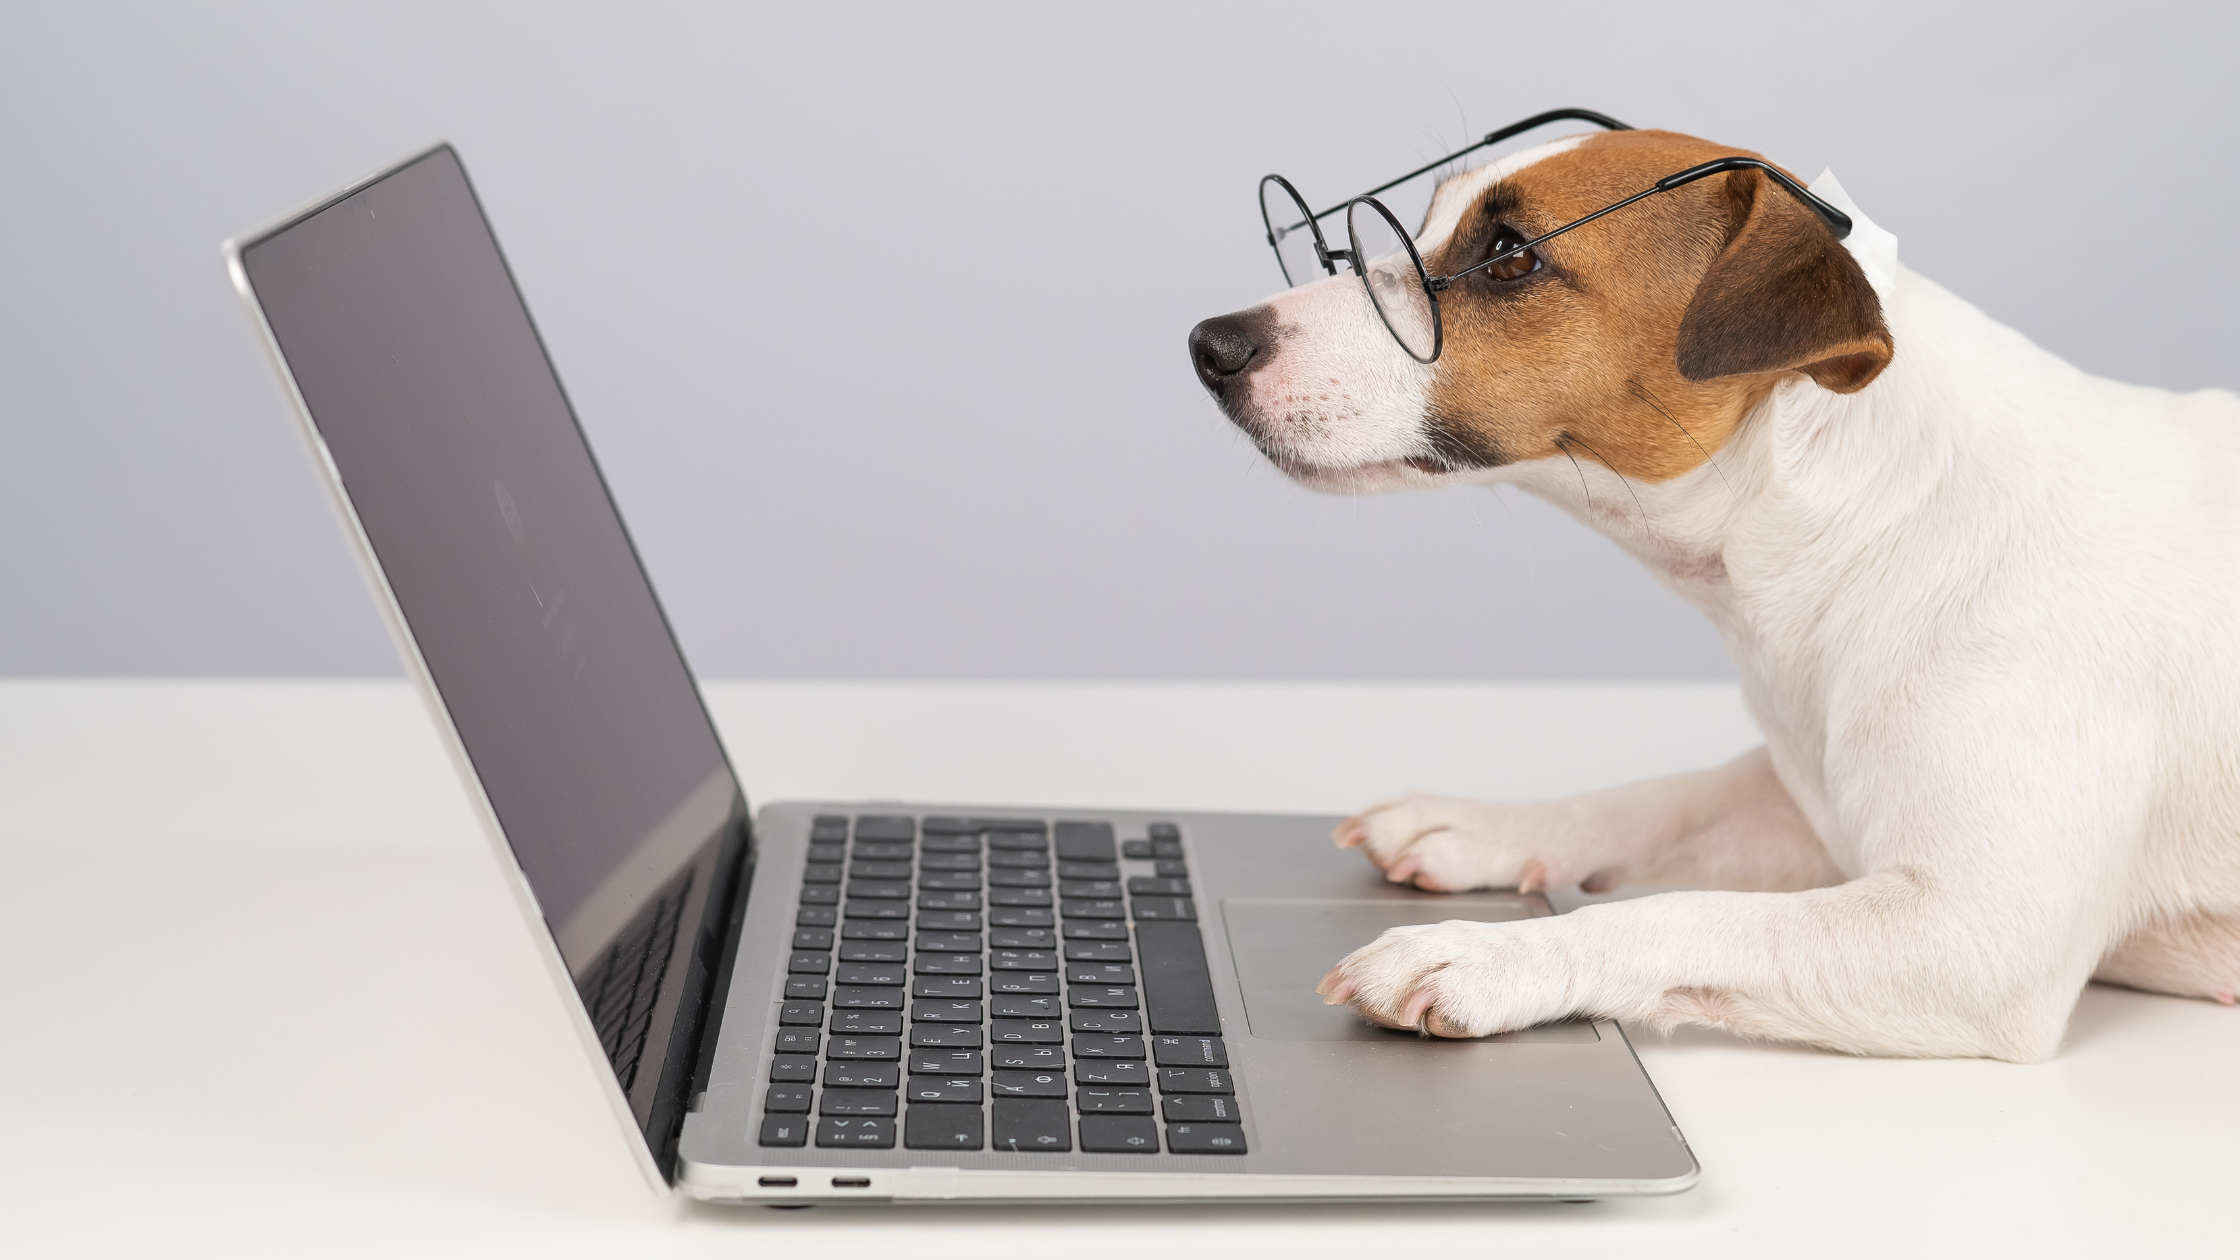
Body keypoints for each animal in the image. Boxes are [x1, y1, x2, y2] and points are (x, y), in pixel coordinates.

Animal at [1191, 124, 2240, 1058]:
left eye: (1508, 255)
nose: (1210, 343)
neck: (1874, 512)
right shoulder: (1808, 805)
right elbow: (1663, 802)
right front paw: (1488, 825)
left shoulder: (1973, 938)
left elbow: (1686, 914)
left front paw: (1491, 955)